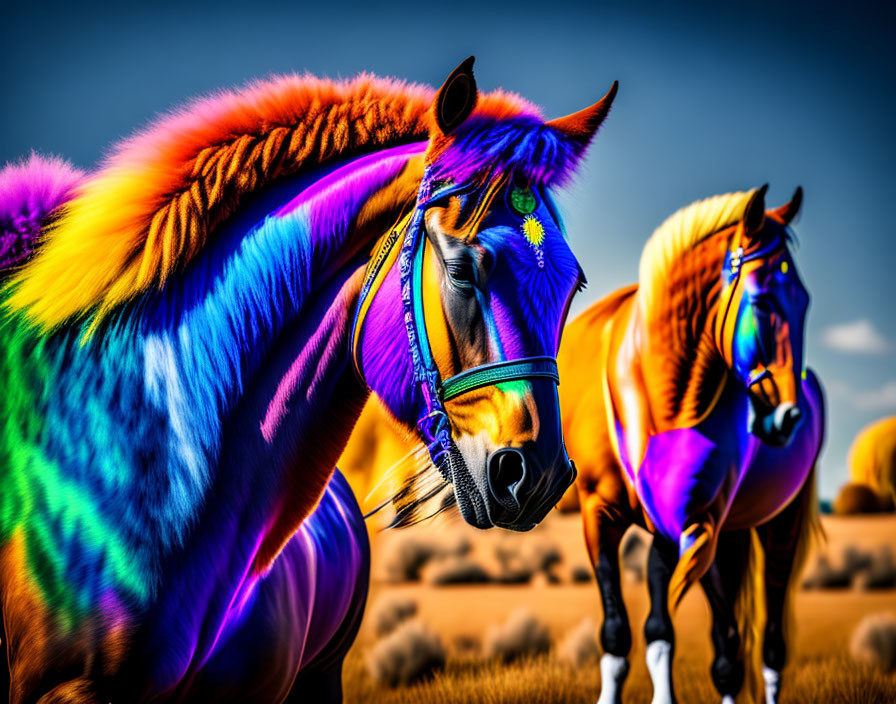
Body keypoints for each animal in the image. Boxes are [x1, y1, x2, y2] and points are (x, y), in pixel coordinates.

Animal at [560, 187, 824, 704]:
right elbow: (621, 632)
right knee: (729, 644)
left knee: (767, 645)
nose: (788, 418)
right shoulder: (598, 514)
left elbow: (665, 630)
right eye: (763, 302)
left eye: (805, 302)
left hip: (778, 524)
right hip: (733, 534)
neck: (666, 398)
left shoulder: (688, 521)